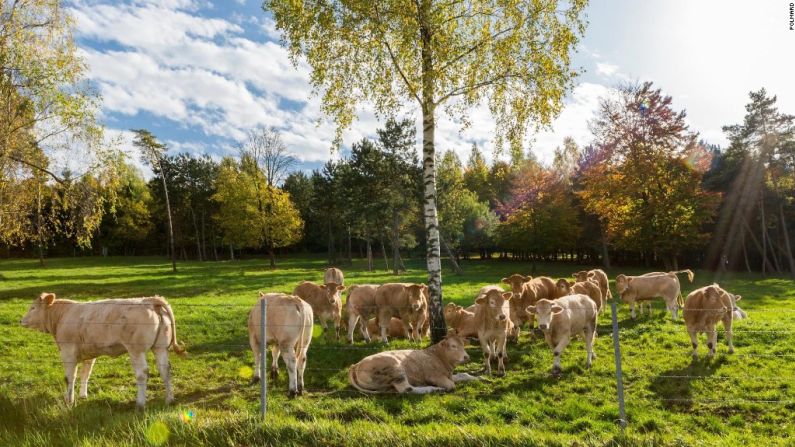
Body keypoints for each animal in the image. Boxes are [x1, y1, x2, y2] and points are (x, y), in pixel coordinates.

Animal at [21, 294, 185, 410]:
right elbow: (85, 374)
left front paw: (69, 400)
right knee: (165, 369)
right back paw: (169, 400)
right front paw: (83, 396)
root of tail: (149, 300)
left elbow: (70, 377)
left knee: (142, 373)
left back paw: (140, 404)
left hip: (136, 350)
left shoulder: (68, 352)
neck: (63, 316)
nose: (21, 321)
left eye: (33, 308)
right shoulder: (89, 355)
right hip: (160, 347)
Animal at [348, 334, 478, 394]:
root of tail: (355, 365)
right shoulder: (435, 376)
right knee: (407, 389)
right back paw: (433, 389)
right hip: (395, 368)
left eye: (463, 345)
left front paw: (479, 378)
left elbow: (463, 375)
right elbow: (451, 385)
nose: (466, 357)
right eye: (453, 346)